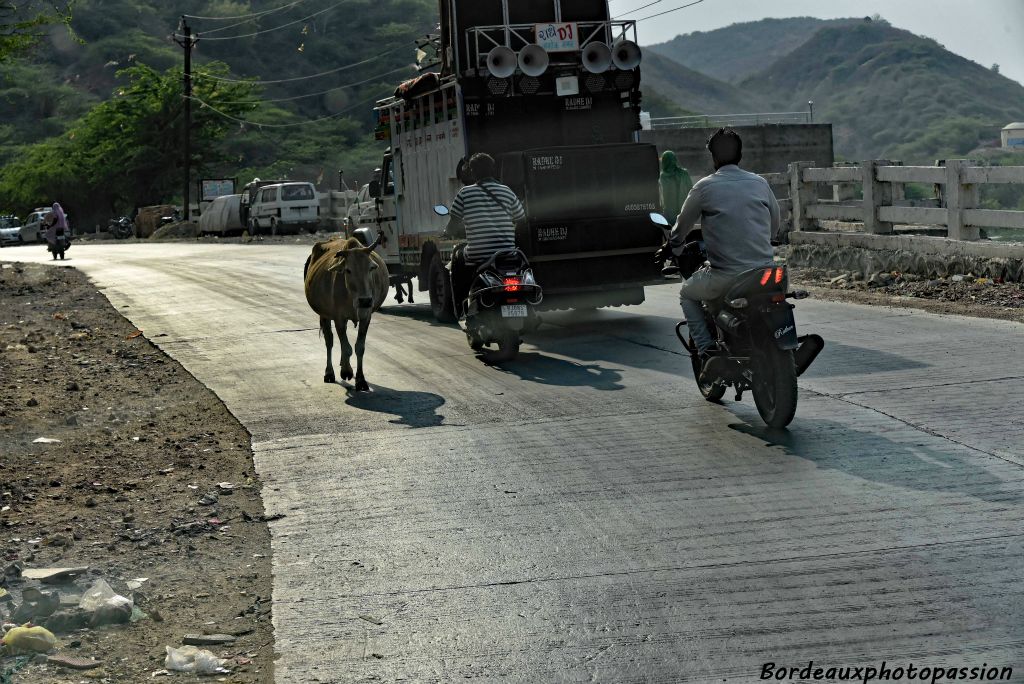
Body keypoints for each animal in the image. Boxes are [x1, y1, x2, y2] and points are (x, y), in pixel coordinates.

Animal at [301, 237, 389, 393]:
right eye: (348, 270)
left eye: (371, 268)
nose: (365, 300)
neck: (351, 295)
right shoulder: (339, 319)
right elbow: (347, 348)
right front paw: (347, 371)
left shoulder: (366, 317)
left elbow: (359, 347)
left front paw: (360, 380)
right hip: (324, 315)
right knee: (329, 341)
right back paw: (330, 373)